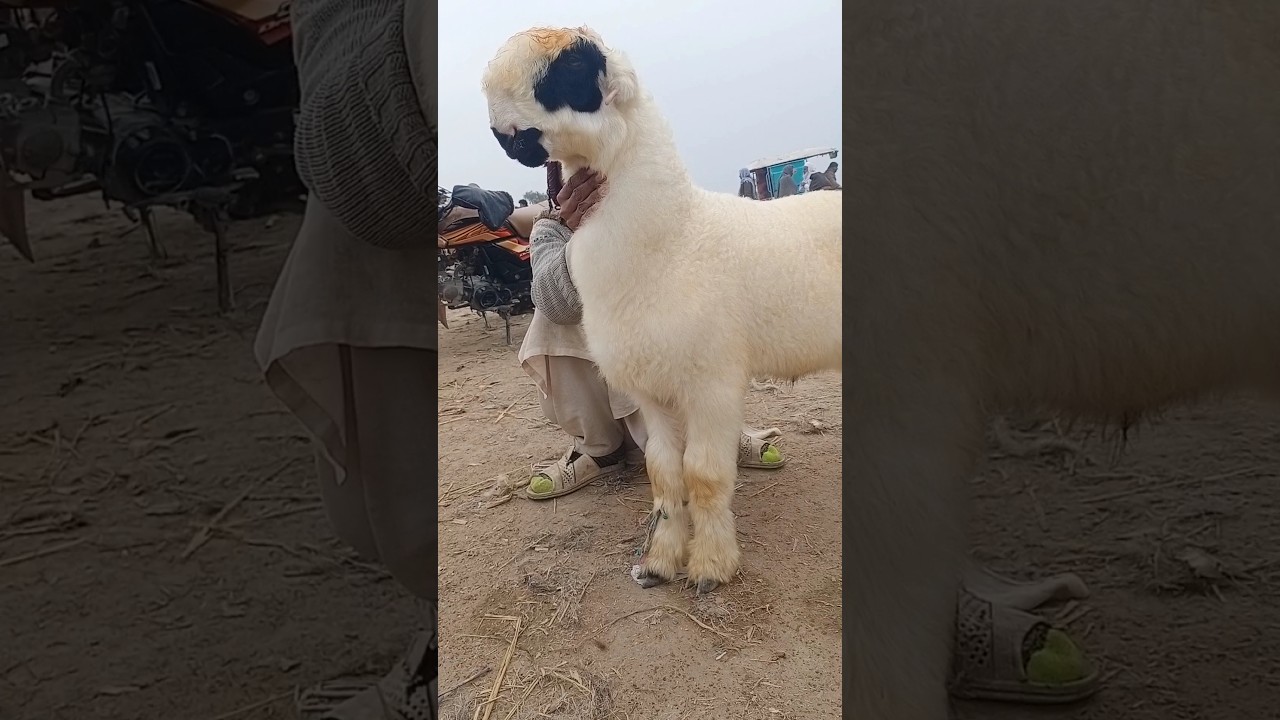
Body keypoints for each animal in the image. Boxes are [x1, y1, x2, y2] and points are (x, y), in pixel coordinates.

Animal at [481, 27, 842, 594]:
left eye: (570, 71)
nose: (499, 131)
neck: (675, 237)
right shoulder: (651, 389)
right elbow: (664, 473)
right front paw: (658, 562)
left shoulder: (712, 383)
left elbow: (705, 475)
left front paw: (710, 569)